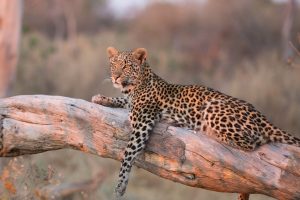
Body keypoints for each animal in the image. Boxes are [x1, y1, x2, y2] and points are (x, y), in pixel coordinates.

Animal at [91, 46, 300, 200]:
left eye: (126, 65)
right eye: (114, 64)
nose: (116, 77)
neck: (136, 85)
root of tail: (261, 116)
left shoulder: (142, 124)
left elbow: (128, 153)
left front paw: (120, 186)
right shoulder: (130, 103)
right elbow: (121, 101)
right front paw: (100, 98)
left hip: (214, 108)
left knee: (252, 142)